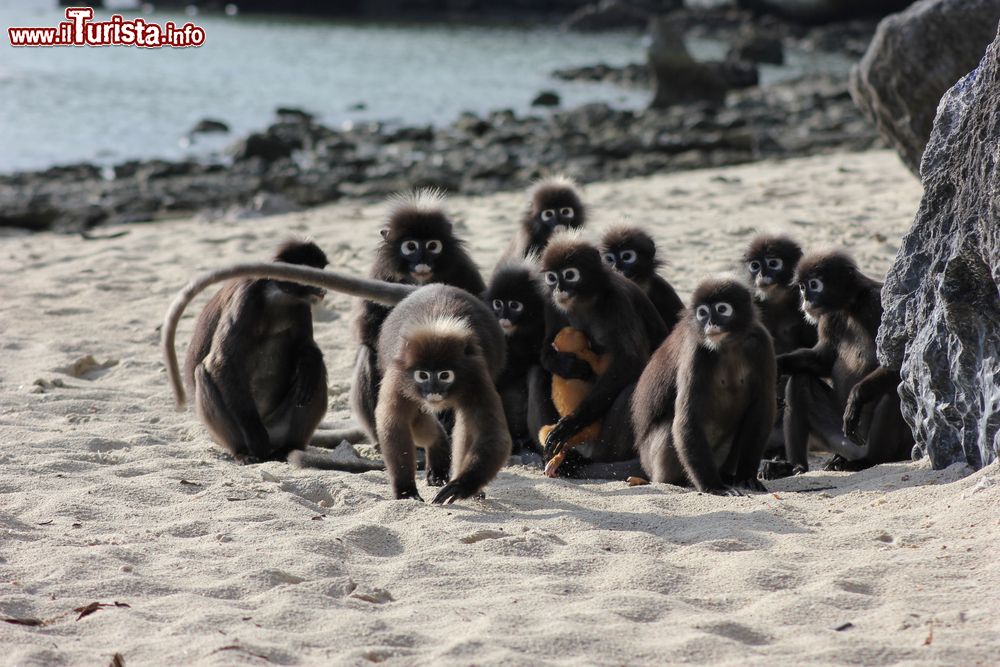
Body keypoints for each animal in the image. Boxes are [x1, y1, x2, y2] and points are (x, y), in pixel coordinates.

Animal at [540, 326, 608, 478]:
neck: (574, 351)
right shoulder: (587, 356)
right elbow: (602, 367)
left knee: (546, 433)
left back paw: (557, 457)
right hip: (586, 431)